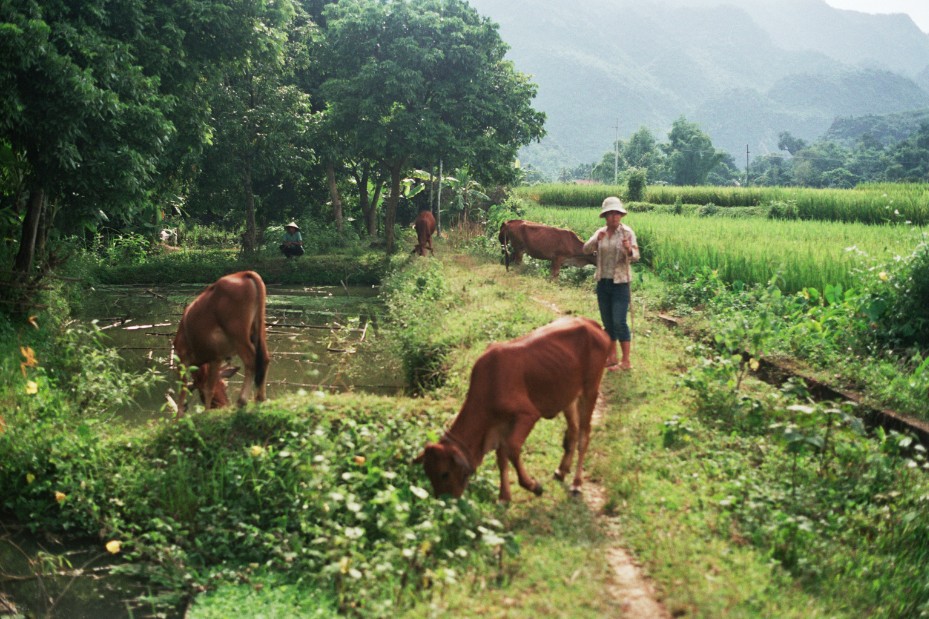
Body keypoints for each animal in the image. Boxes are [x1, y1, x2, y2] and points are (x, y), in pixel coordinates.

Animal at [171, 270, 270, 416]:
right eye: (225, 384)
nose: (223, 405)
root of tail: (246, 273)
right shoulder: (217, 357)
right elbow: (208, 387)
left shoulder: (182, 357)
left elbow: (185, 390)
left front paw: (182, 417)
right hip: (259, 329)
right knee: (264, 359)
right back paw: (260, 399)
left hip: (238, 334)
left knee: (251, 360)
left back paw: (242, 401)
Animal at [416, 318, 612, 502]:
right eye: (428, 473)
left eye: (444, 473)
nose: (444, 500)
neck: (490, 384)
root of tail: (591, 324)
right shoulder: (499, 426)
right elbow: (501, 459)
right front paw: (504, 496)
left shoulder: (527, 415)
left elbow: (511, 449)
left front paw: (533, 486)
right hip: (567, 396)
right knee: (573, 431)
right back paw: (562, 470)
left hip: (590, 391)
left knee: (584, 435)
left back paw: (577, 484)